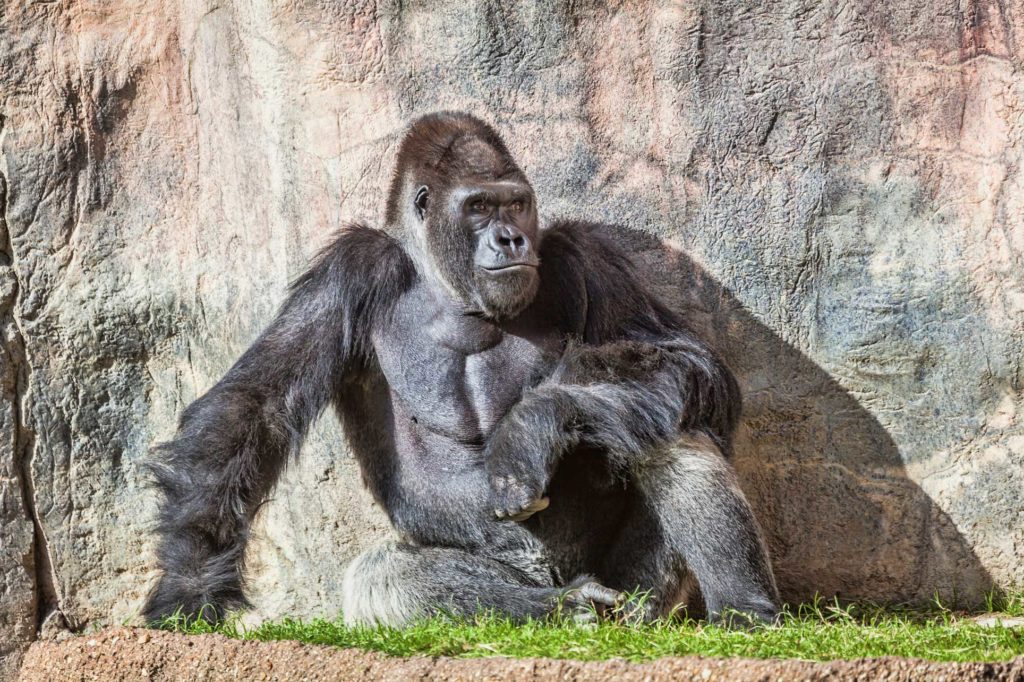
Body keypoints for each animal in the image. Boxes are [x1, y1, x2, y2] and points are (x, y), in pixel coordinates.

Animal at [144, 111, 778, 626]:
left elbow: (690, 362)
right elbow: (256, 407)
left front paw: (530, 427)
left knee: (664, 415)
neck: (446, 281)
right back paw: (560, 608)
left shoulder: (581, 254)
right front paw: (188, 584)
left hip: (638, 591)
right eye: (478, 207)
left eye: (515, 202)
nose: (511, 237)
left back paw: (744, 608)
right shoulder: (350, 270)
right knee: (384, 576)